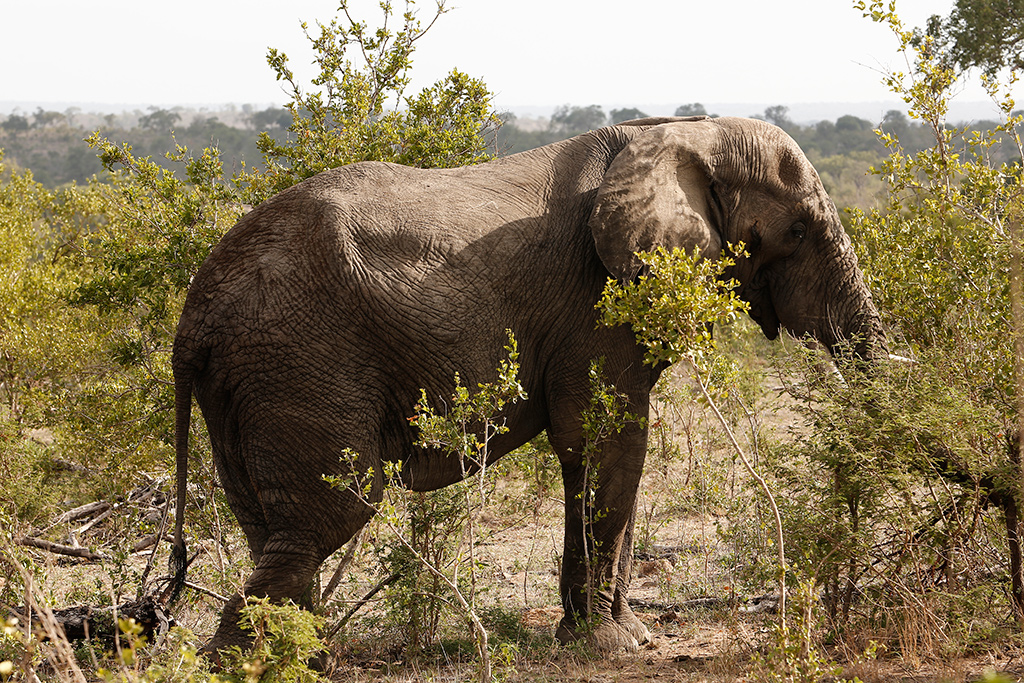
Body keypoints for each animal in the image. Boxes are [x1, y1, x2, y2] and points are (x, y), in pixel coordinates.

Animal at [169, 115, 885, 655]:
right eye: (797, 232)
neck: (684, 132)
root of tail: (192, 317)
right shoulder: (597, 300)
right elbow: (605, 437)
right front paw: (614, 646)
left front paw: (613, 636)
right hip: (298, 359)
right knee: (328, 517)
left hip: (246, 384)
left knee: (272, 530)